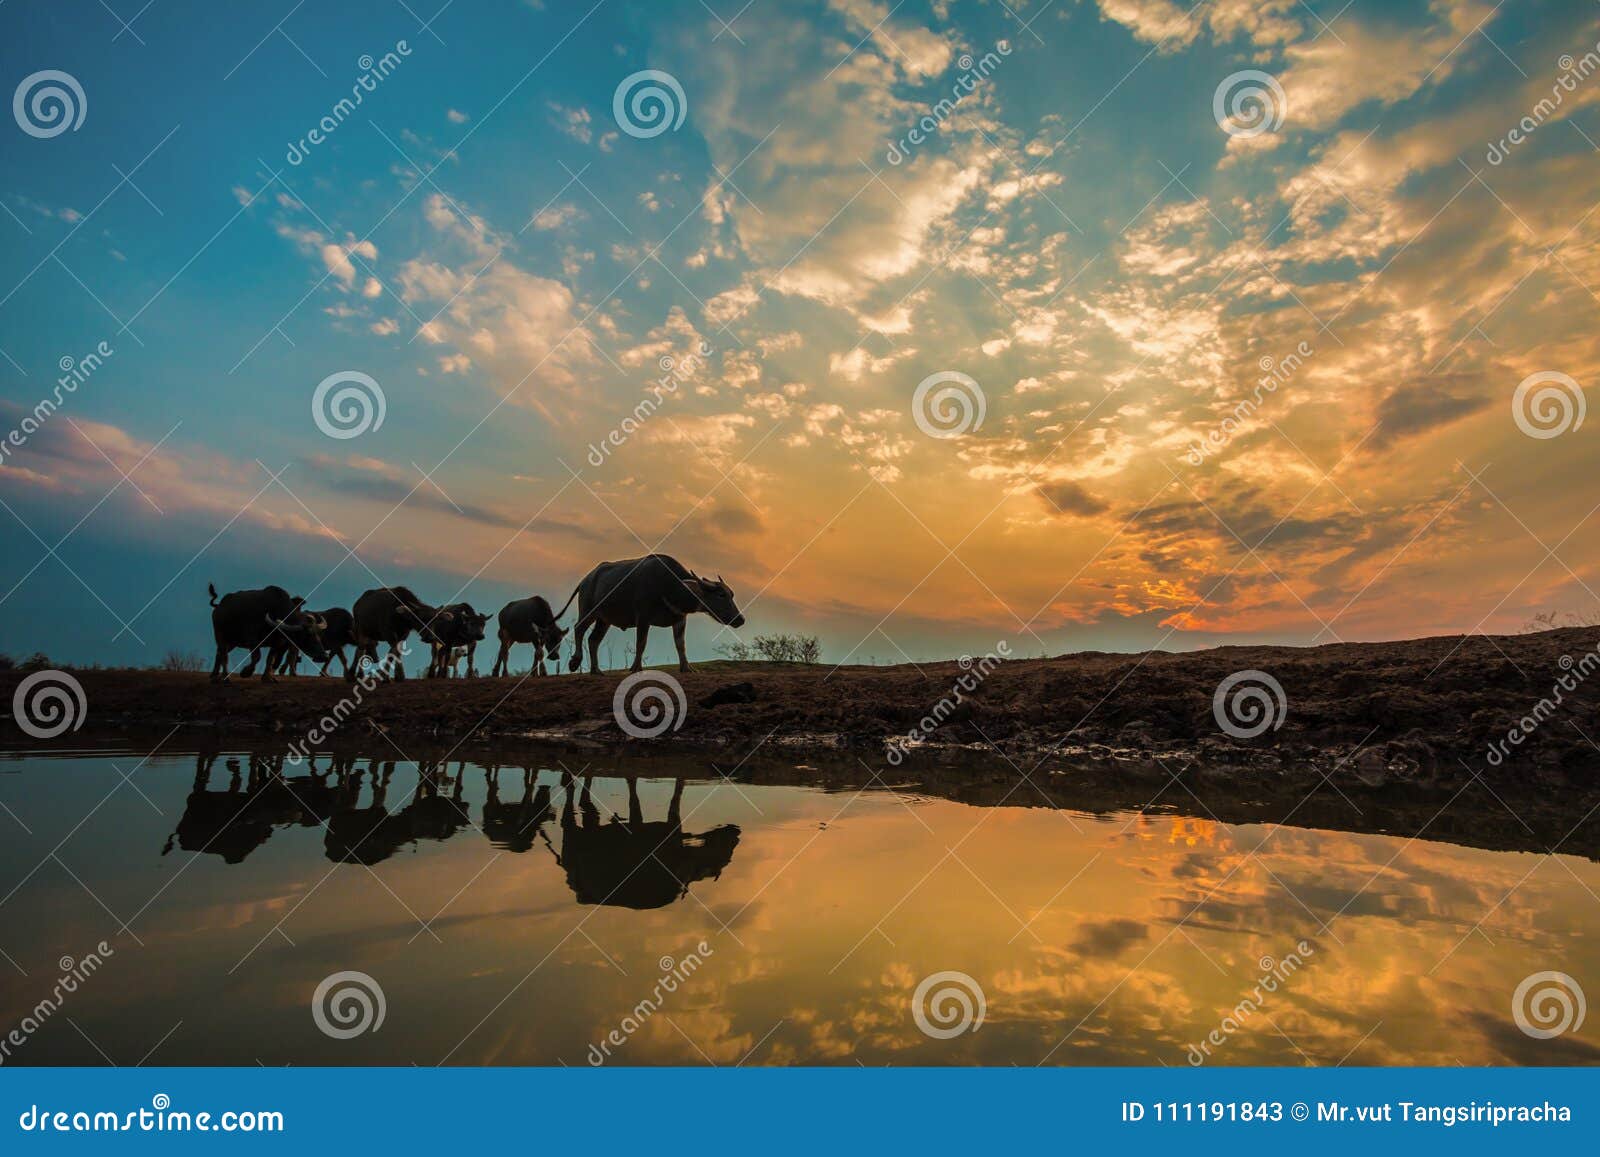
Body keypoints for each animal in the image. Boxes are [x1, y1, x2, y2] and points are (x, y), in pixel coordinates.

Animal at [553, 784, 739, 908]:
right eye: (720, 858)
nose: (737, 833)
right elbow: (636, 798)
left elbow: (676, 793)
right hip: (570, 836)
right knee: (567, 812)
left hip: (588, 831)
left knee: (586, 803)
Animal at [556, 553, 742, 675]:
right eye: (721, 595)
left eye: (732, 594)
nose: (740, 619)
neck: (670, 586)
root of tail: (586, 580)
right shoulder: (643, 618)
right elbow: (641, 643)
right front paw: (636, 668)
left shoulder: (680, 619)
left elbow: (680, 644)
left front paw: (687, 668)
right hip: (589, 611)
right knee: (579, 628)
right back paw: (575, 662)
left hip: (604, 620)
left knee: (593, 639)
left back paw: (596, 670)